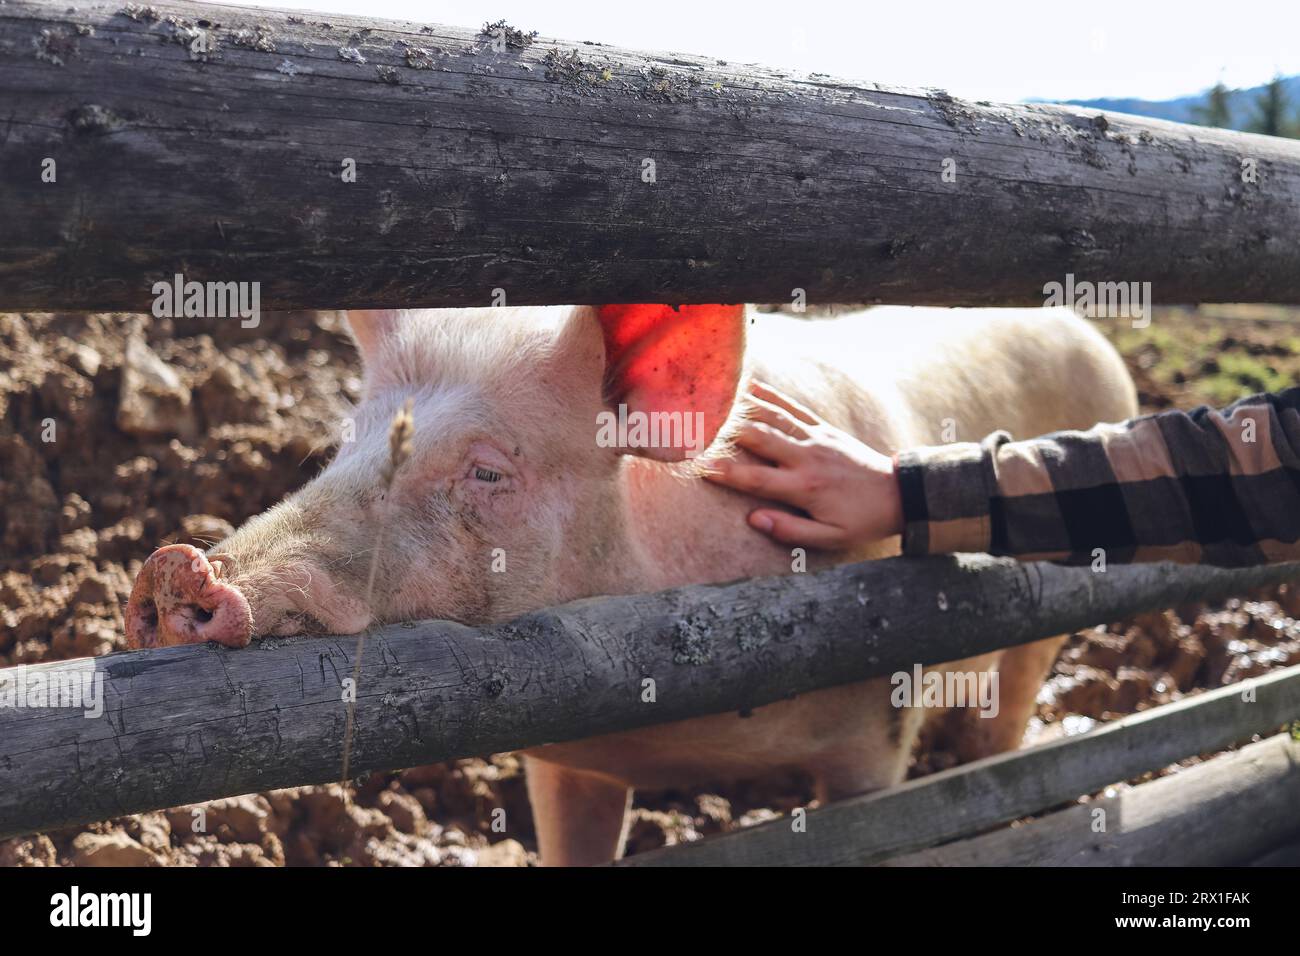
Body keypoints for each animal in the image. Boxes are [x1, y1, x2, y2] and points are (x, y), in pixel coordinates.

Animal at [124, 304, 1138, 868]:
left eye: (488, 472)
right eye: (349, 441)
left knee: (1019, 685)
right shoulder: (560, 759)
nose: (180, 566)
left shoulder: (876, 730)